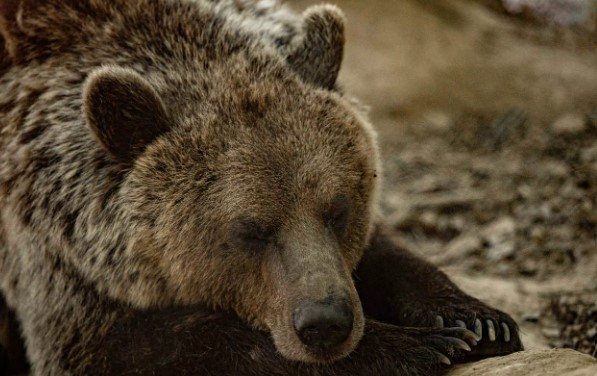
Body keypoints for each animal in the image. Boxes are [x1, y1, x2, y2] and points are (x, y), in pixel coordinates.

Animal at [0, 0, 520, 374]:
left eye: (339, 210)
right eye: (250, 229)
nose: (325, 324)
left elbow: (388, 252)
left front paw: (476, 321)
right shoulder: (55, 256)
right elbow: (133, 346)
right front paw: (418, 345)